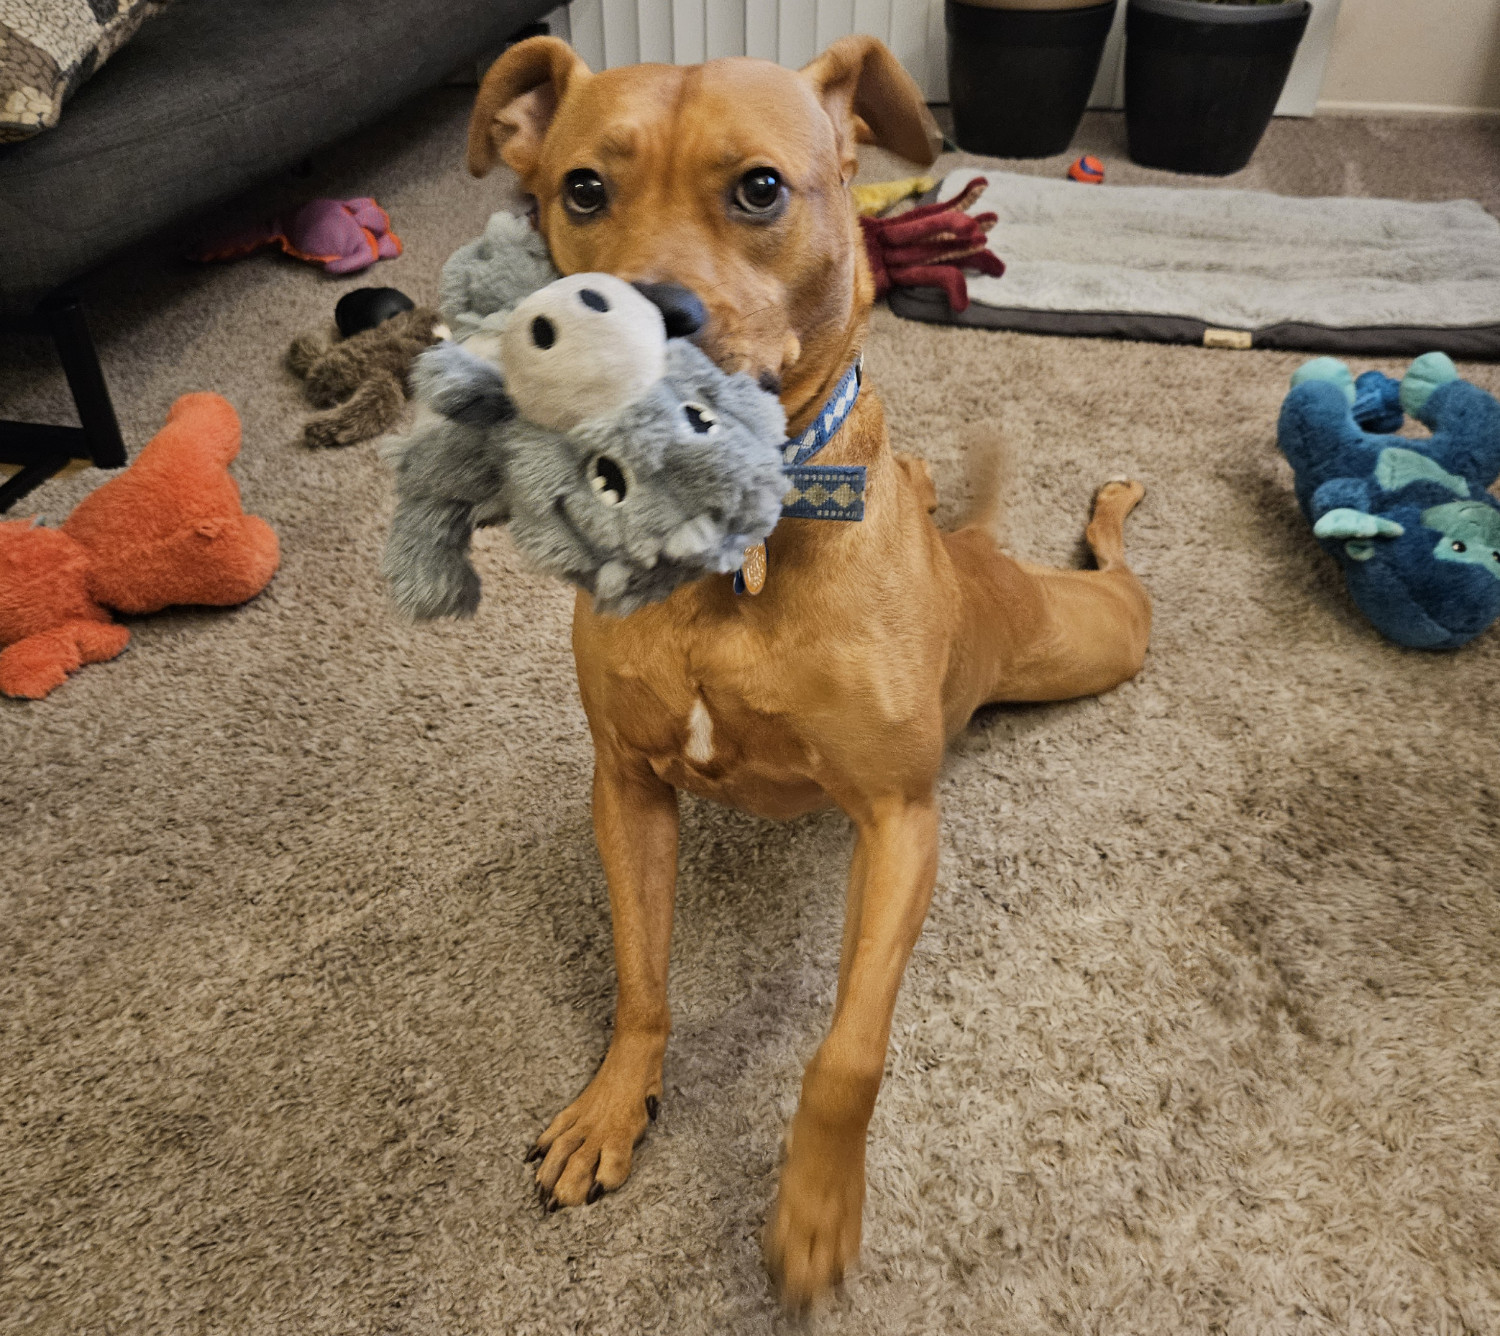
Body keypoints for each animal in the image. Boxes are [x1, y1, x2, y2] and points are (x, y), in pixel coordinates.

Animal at [468, 31, 1146, 1307]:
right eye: (582, 189)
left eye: (760, 188)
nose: (646, 315)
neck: (728, 548)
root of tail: (974, 552)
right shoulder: (626, 786)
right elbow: (641, 981)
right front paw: (612, 1106)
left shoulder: (898, 821)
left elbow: (847, 1051)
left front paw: (816, 1211)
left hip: (1100, 638)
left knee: (1129, 580)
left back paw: (1113, 505)